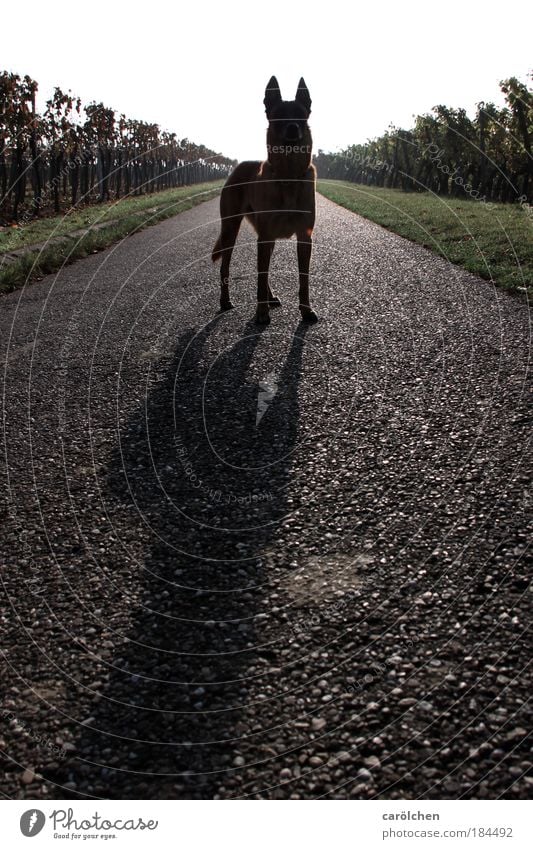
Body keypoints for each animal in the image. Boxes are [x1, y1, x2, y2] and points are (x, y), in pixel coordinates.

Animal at [211, 76, 316, 322]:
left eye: (300, 115)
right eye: (279, 116)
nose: (292, 128)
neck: (288, 175)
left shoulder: (304, 237)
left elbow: (303, 280)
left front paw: (306, 310)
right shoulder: (266, 235)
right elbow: (259, 277)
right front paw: (261, 313)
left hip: (265, 237)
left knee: (263, 268)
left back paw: (270, 296)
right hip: (231, 229)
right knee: (226, 267)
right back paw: (225, 301)